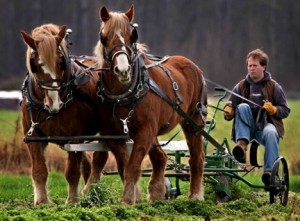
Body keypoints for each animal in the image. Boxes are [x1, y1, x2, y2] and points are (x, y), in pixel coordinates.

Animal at [20, 23, 109, 205]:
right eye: (35, 65)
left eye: (61, 62)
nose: (54, 102)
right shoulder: (33, 136)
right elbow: (39, 170)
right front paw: (41, 202)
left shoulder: (75, 137)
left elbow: (72, 171)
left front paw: (72, 201)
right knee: (88, 162)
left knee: (99, 158)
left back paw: (91, 191)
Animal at [88, 5, 207, 205]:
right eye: (104, 37)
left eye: (132, 35)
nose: (123, 70)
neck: (124, 94)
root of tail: (192, 65)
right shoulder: (113, 134)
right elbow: (123, 165)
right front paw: (136, 198)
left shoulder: (145, 131)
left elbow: (133, 166)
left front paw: (127, 201)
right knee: (160, 158)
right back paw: (157, 193)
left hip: (193, 121)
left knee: (196, 157)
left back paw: (195, 196)